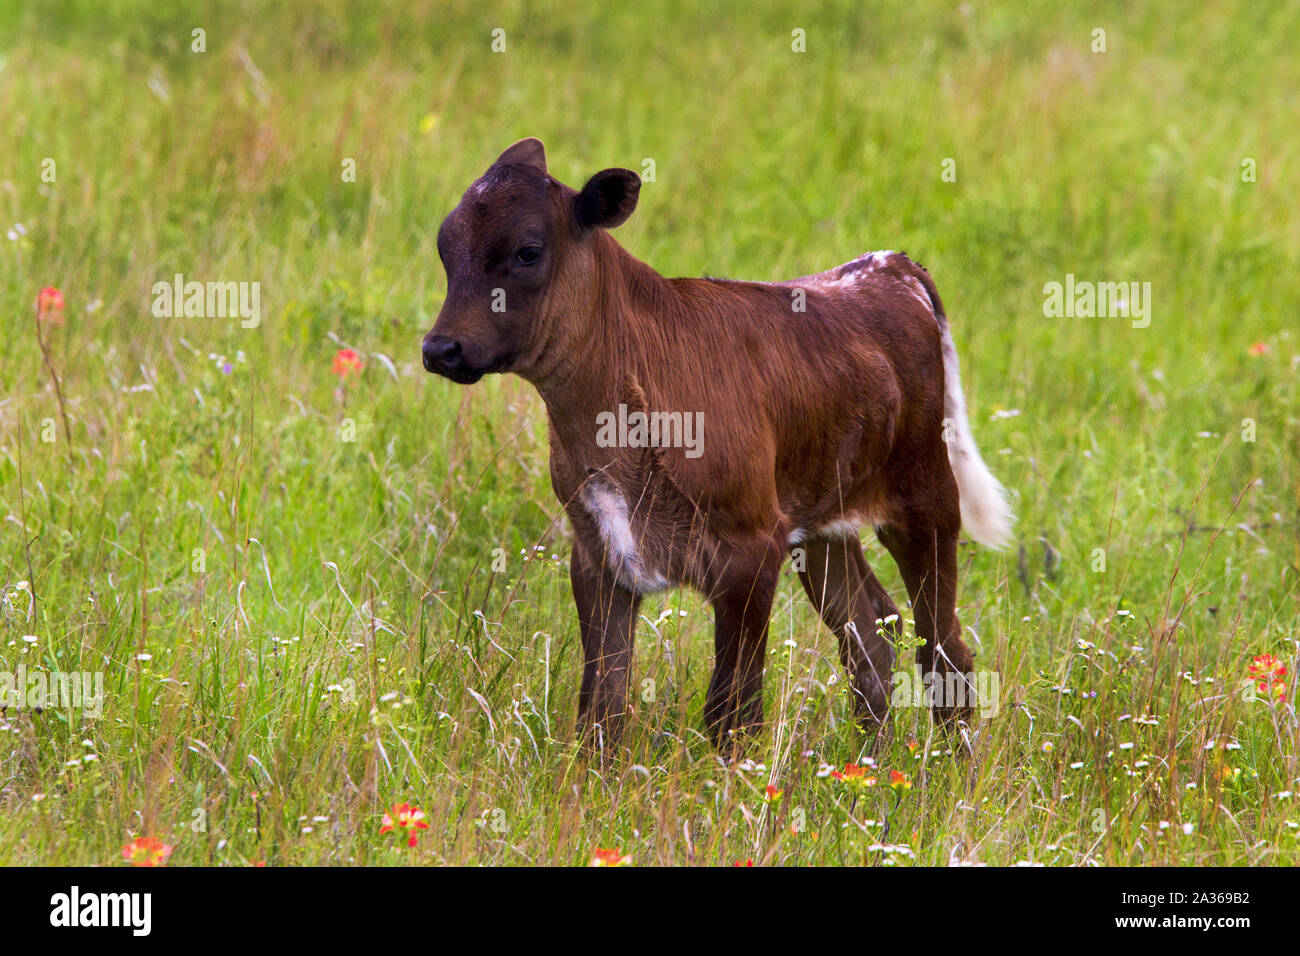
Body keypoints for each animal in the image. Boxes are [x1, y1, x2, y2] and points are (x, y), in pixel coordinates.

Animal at [421, 138, 1008, 749]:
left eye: (528, 251)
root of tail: (891, 265)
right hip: (821, 524)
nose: (440, 348)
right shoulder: (596, 552)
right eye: (445, 246)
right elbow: (602, 705)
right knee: (871, 635)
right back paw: (869, 761)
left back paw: (948, 771)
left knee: (945, 648)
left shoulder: (750, 550)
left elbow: (732, 711)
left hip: (926, 499)